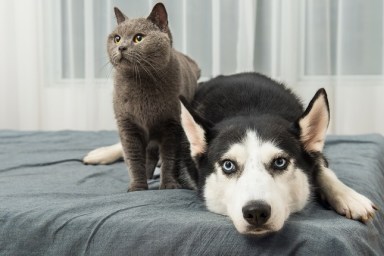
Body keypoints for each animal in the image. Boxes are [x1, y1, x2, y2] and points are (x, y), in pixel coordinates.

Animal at [104, 2, 201, 190]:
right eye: (117, 38)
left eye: (138, 38)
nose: (121, 47)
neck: (141, 82)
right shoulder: (127, 125)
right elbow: (134, 158)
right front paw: (138, 186)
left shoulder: (172, 125)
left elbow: (169, 157)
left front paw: (169, 184)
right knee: (149, 155)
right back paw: (148, 174)